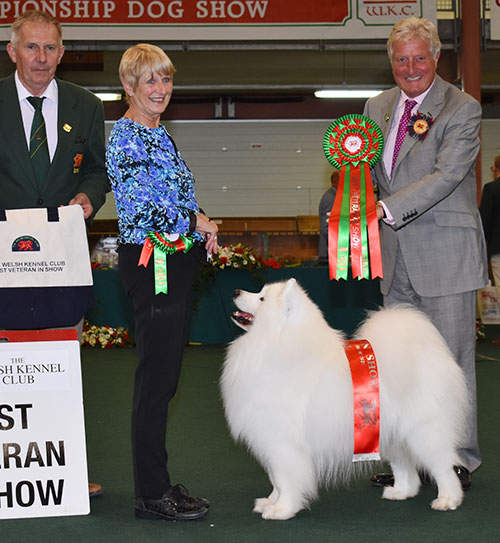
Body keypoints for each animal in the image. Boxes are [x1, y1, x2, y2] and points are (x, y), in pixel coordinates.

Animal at [221, 278, 470, 520]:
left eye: (261, 298)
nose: (235, 291)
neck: (275, 345)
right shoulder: (270, 441)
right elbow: (275, 480)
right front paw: (270, 502)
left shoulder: (283, 444)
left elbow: (285, 480)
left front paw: (282, 510)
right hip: (389, 434)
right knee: (406, 467)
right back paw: (401, 492)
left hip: (423, 432)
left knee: (443, 466)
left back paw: (448, 499)